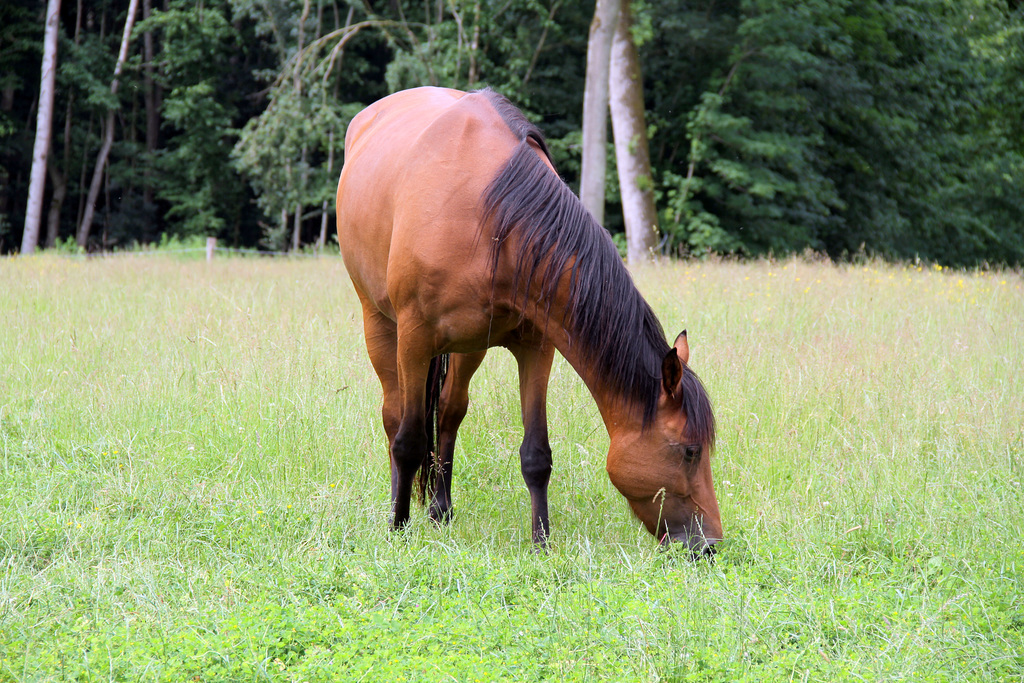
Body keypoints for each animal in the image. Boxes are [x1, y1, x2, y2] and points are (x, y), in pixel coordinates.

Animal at [335, 87, 720, 557]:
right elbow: (409, 441)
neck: (492, 218)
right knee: (396, 418)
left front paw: (541, 542)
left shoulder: (538, 347)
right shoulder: (415, 340)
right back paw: (401, 511)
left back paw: (441, 510)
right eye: (689, 451)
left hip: (469, 346)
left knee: (448, 412)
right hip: (381, 324)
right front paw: (398, 528)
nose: (710, 544)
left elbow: (537, 453)